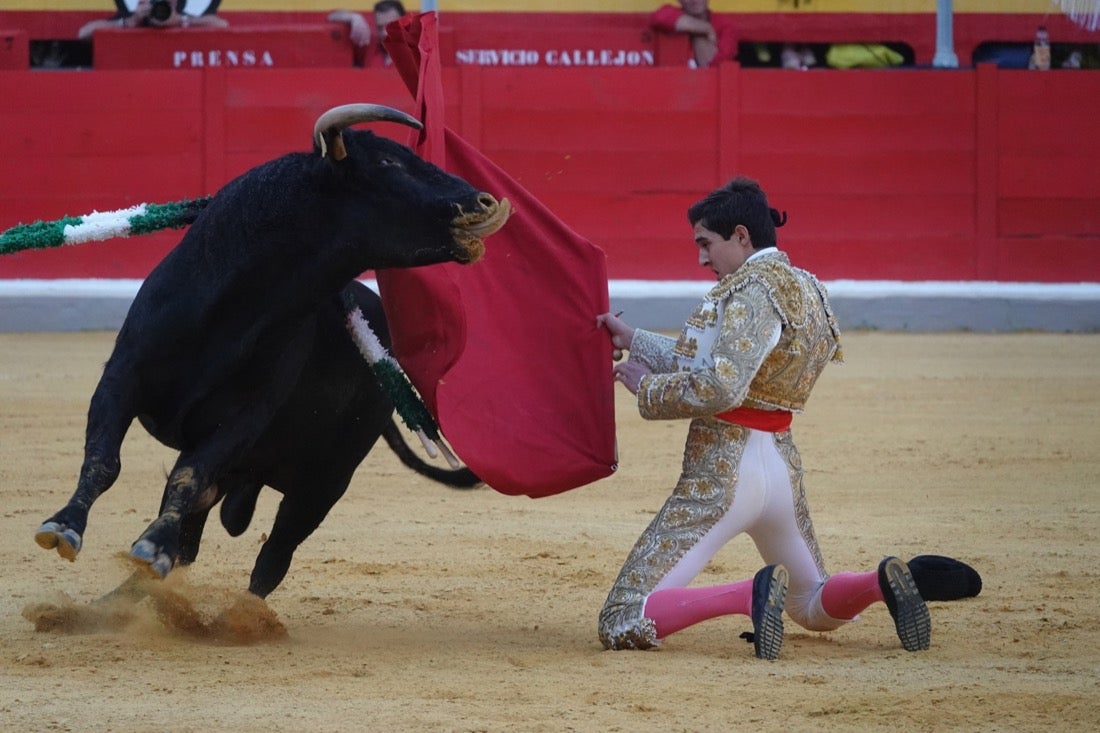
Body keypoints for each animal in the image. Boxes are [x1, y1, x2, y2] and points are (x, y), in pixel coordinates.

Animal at [33, 101, 510, 594]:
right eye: (388, 163)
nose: (485, 201)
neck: (235, 309)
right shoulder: (121, 379)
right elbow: (103, 460)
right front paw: (64, 526)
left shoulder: (241, 420)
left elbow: (188, 477)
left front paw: (151, 548)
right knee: (201, 527)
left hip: (325, 481)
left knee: (272, 555)